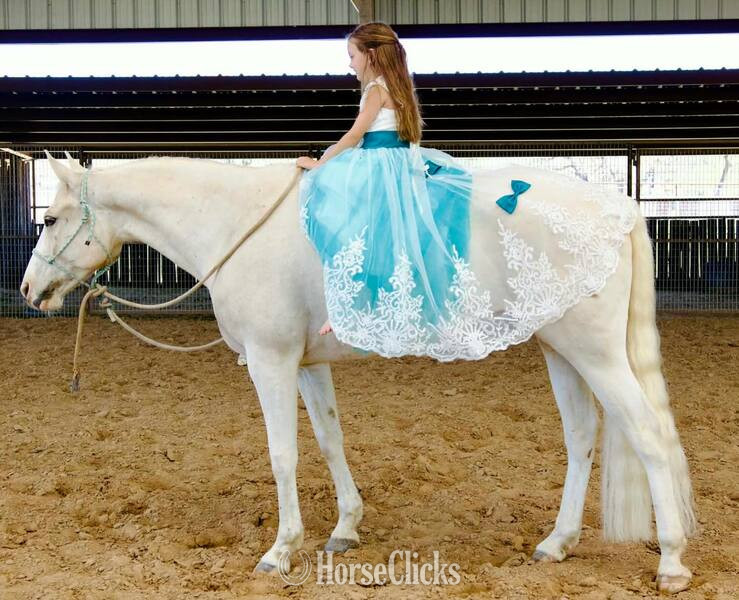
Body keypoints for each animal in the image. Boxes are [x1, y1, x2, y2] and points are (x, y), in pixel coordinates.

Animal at [20, 152, 696, 593]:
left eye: (50, 219)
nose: (29, 290)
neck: (238, 222)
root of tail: (616, 209)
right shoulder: (305, 364)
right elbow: (329, 438)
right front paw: (344, 527)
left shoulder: (269, 361)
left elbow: (283, 454)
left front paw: (280, 550)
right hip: (562, 349)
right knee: (582, 438)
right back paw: (557, 543)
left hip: (597, 354)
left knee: (648, 436)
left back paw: (670, 562)